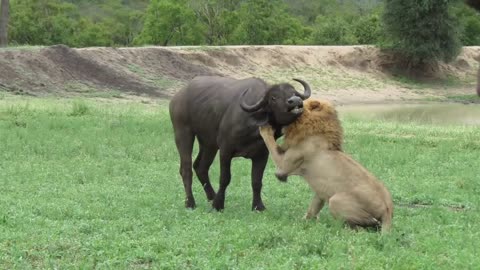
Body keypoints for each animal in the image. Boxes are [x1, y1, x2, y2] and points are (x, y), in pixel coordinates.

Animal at [169, 75, 312, 211]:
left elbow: (256, 181)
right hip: (183, 132)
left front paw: (258, 206)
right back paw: (190, 203)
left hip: (208, 143)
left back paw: (211, 197)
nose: (295, 101)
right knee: (186, 168)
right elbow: (225, 178)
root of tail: (178, 96)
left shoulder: (262, 155)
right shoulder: (225, 151)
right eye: (273, 97)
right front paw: (218, 205)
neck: (253, 127)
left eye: (293, 92)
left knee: (201, 167)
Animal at [258, 98, 394, 233]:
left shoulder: (283, 167)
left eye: (300, 102)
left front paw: (264, 128)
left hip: (336, 200)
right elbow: (313, 208)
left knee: (367, 226)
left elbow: (270, 142)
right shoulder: (320, 192)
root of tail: (387, 210)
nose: (291, 99)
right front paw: (304, 222)